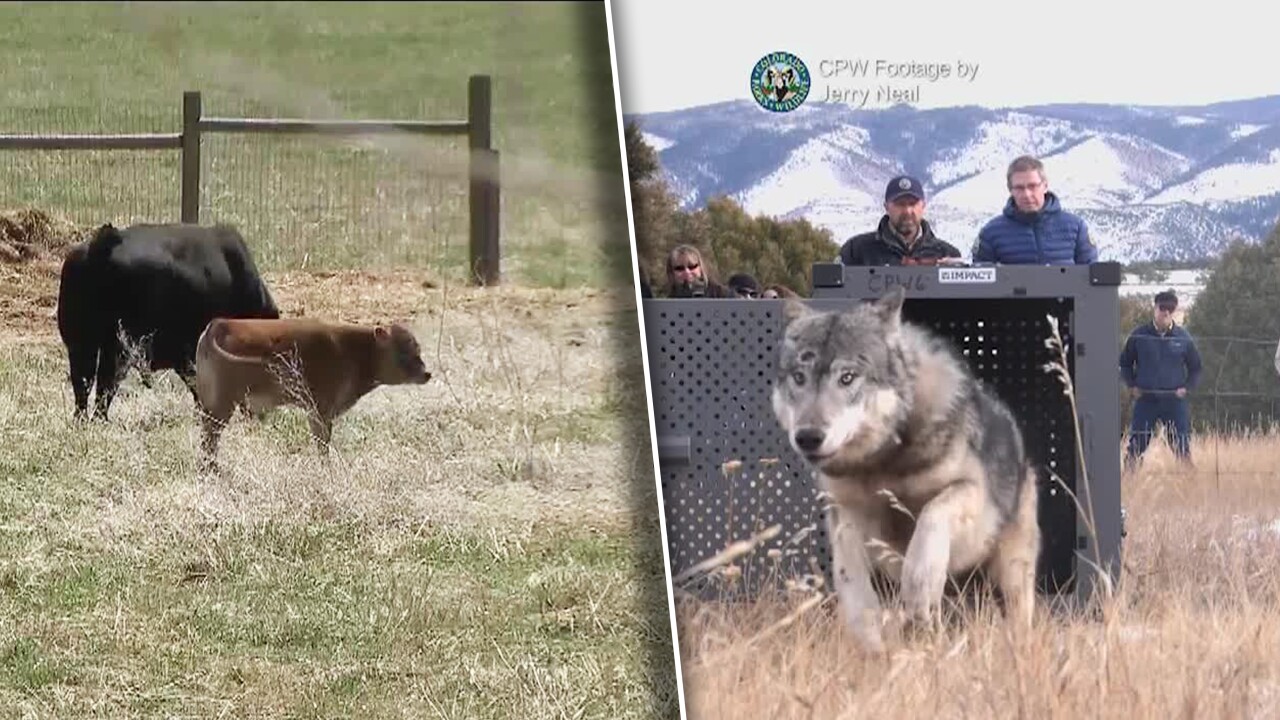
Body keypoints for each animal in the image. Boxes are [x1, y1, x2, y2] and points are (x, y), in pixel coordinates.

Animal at [193, 317, 431, 467]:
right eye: (403, 351)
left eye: (418, 349)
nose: (427, 373)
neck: (353, 351)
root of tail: (219, 323)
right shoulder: (320, 410)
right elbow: (322, 445)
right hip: (223, 404)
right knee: (210, 438)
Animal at [770, 287, 1041, 652]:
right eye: (799, 378)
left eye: (847, 378)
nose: (808, 437)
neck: (883, 463)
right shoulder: (846, 513)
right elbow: (850, 577)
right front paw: (869, 639)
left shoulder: (971, 494)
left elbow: (930, 517)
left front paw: (920, 589)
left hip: (1011, 570)